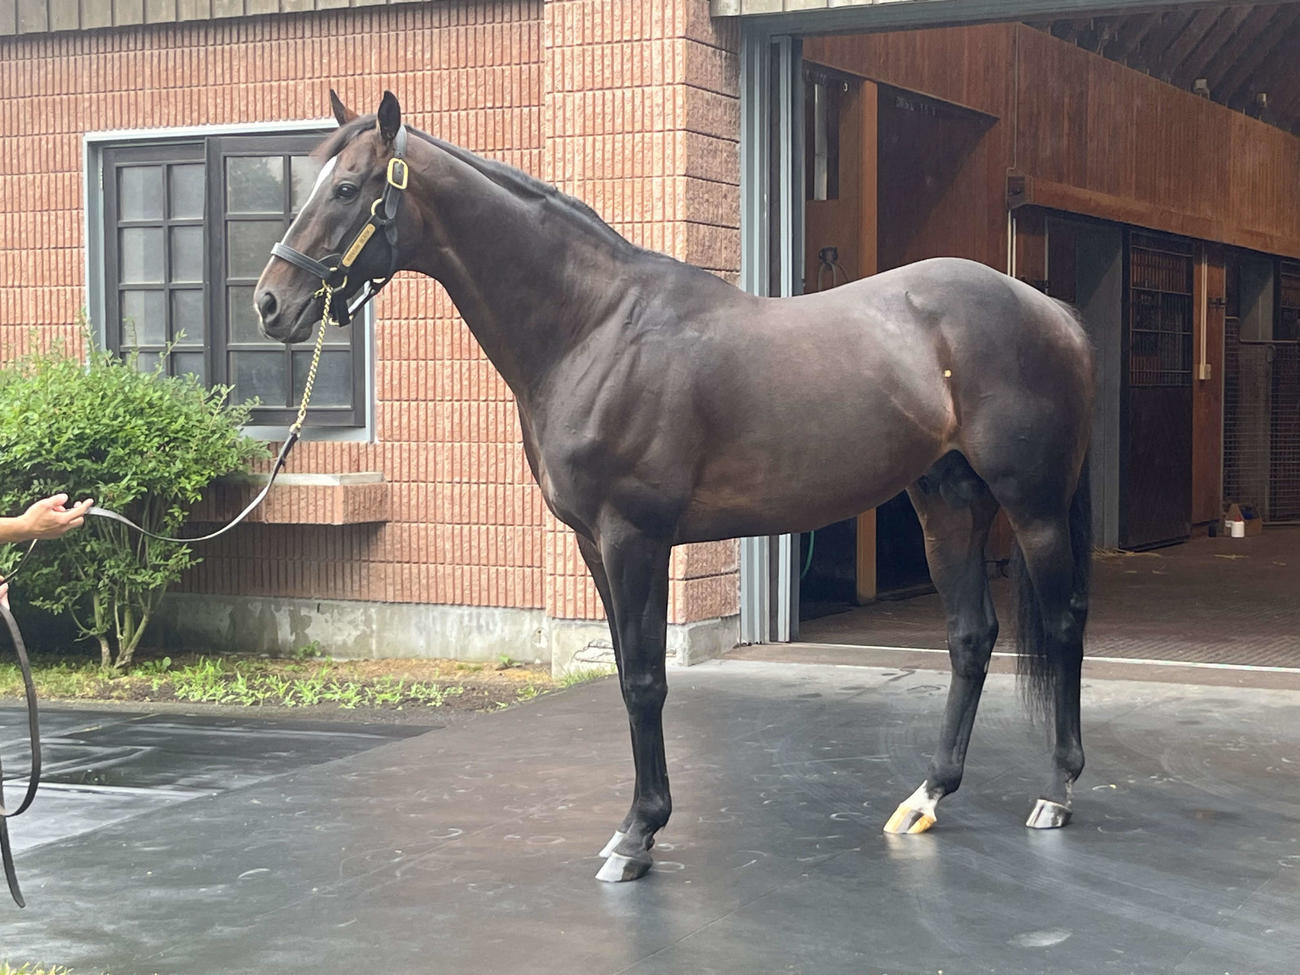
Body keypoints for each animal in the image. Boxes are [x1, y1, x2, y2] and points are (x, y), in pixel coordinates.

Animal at [255, 91, 1095, 883]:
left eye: (348, 188)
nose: (270, 303)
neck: (593, 330)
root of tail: (1049, 309)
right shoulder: (593, 544)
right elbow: (630, 673)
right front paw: (638, 824)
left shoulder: (636, 537)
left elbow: (646, 680)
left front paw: (638, 834)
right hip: (945, 504)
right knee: (970, 637)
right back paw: (927, 794)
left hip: (1034, 507)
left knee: (1062, 626)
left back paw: (1056, 792)